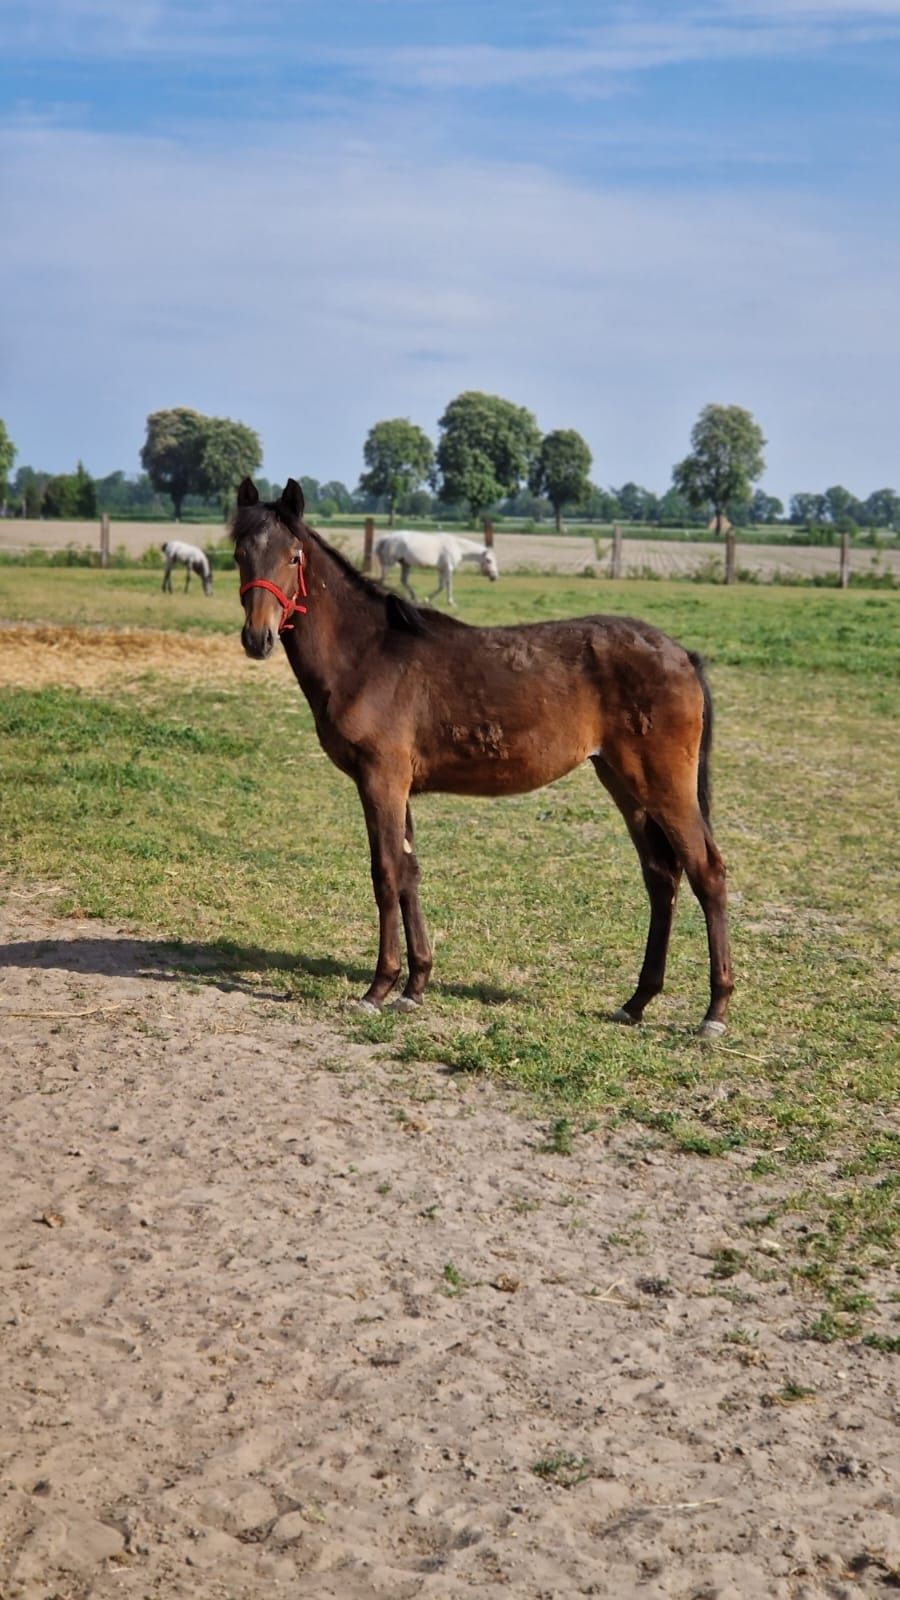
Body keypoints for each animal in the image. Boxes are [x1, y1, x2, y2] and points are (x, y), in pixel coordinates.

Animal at [229, 473, 730, 1036]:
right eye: (240, 553)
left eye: (293, 556)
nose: (257, 638)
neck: (370, 654)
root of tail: (681, 654)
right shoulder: (398, 786)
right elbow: (409, 874)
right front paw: (415, 987)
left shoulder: (381, 780)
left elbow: (385, 874)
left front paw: (378, 988)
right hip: (625, 784)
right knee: (661, 877)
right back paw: (637, 1001)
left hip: (664, 785)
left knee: (707, 872)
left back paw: (714, 1013)